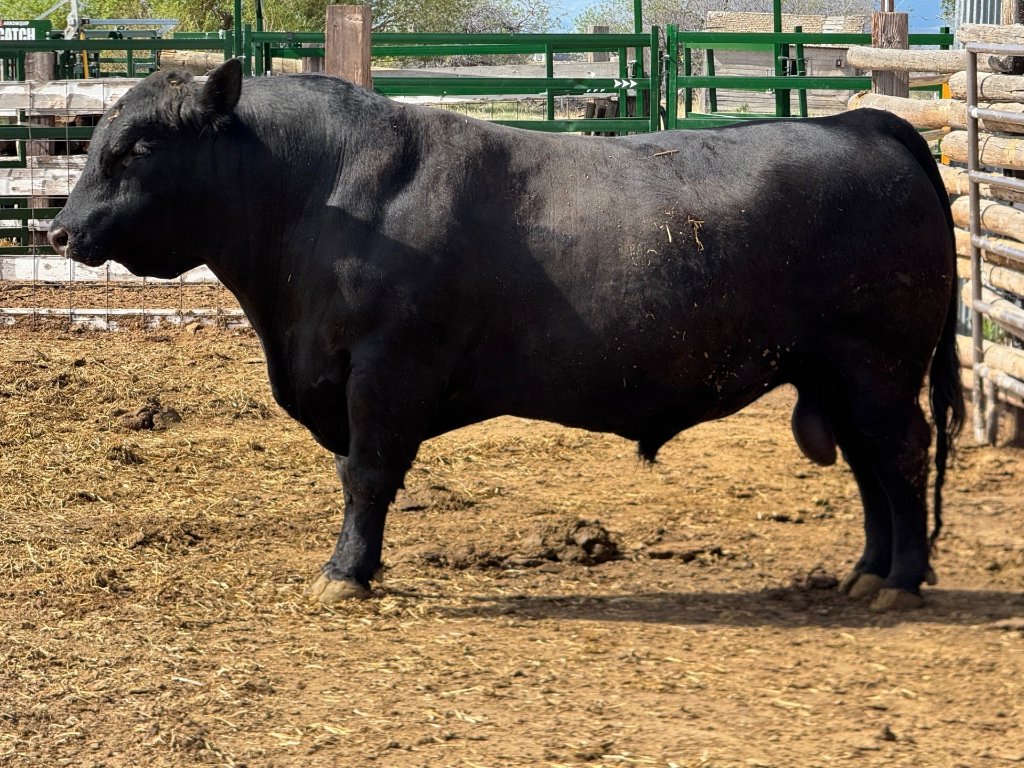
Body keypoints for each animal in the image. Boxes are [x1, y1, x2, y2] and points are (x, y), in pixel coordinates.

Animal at [48, 59, 963, 611]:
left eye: (139, 145)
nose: (60, 229)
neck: (321, 195)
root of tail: (860, 121)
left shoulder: (383, 373)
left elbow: (366, 476)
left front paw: (346, 573)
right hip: (838, 373)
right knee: (869, 466)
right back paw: (868, 572)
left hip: (879, 365)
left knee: (900, 456)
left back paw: (903, 578)